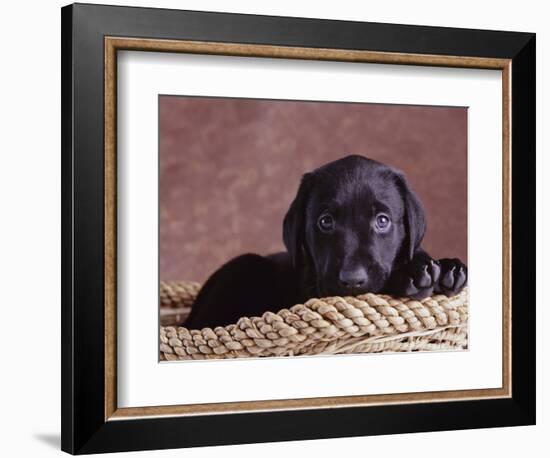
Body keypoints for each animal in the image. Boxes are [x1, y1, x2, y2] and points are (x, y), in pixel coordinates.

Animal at [187, 156, 470, 328]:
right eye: (325, 221)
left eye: (382, 220)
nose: (353, 280)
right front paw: (414, 274)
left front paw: (445, 268)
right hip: (243, 265)